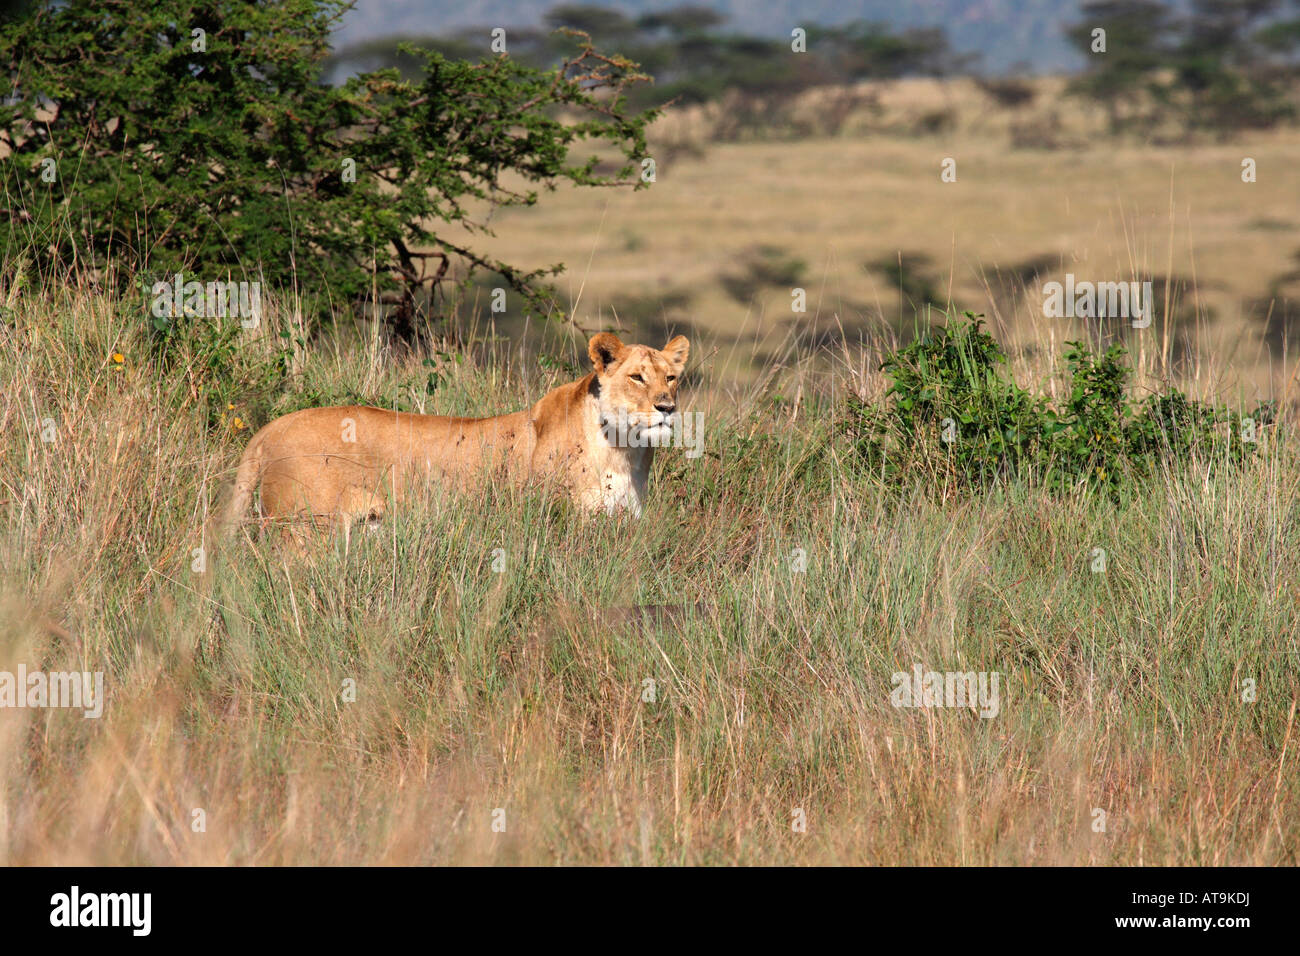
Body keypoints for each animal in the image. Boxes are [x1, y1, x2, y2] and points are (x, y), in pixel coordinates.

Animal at [218, 332, 689, 535]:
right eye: (637, 377)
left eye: (671, 378)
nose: (666, 408)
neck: (624, 450)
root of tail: (272, 425)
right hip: (304, 530)